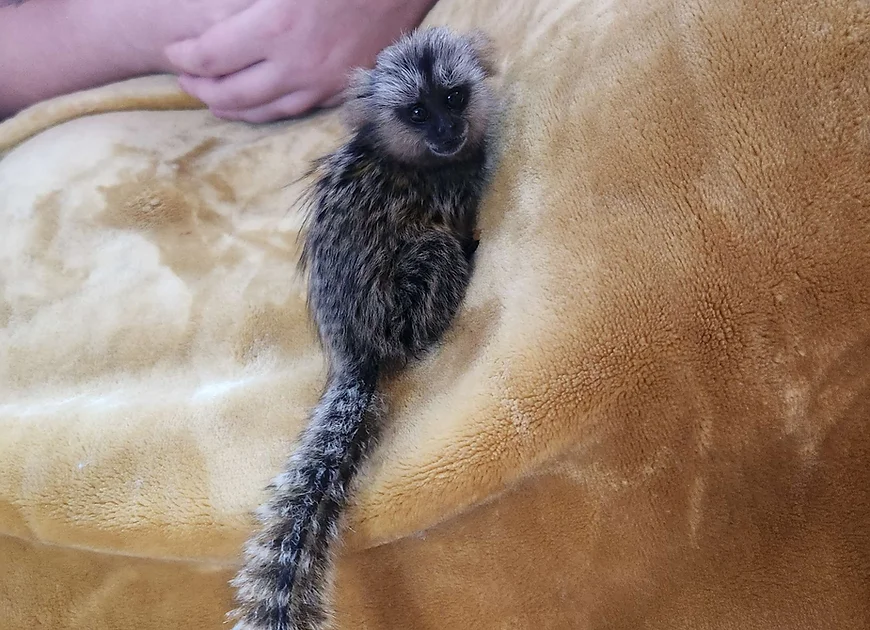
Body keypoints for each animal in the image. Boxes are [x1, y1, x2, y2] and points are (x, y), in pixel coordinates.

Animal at [228, 25, 500, 630]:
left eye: (453, 98)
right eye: (418, 112)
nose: (447, 130)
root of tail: (356, 346)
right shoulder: (448, 187)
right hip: (403, 304)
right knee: (436, 253)